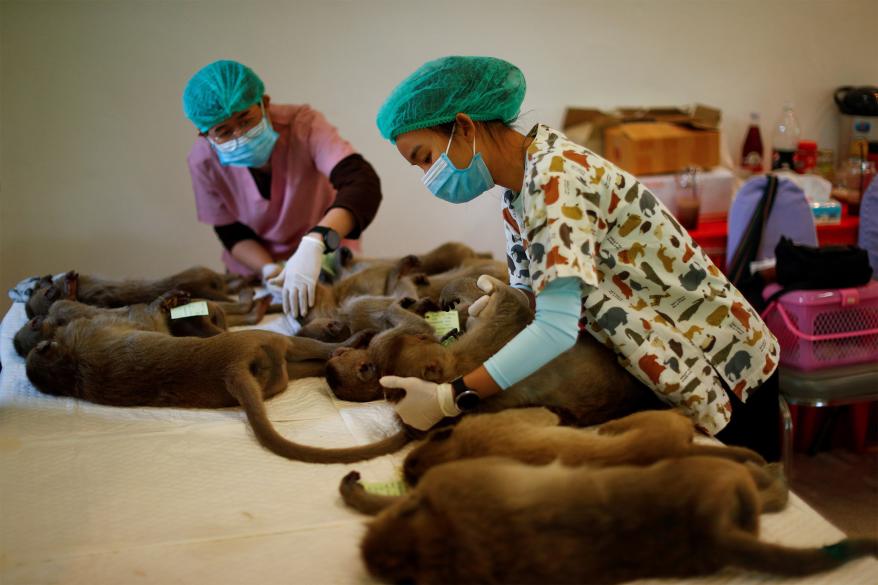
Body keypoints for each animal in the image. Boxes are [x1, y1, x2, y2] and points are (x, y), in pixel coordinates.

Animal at [24, 318, 402, 464]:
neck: (70, 367)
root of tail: (229, 370)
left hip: (275, 369)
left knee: (309, 364)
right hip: (265, 339)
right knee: (317, 351)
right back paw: (353, 341)